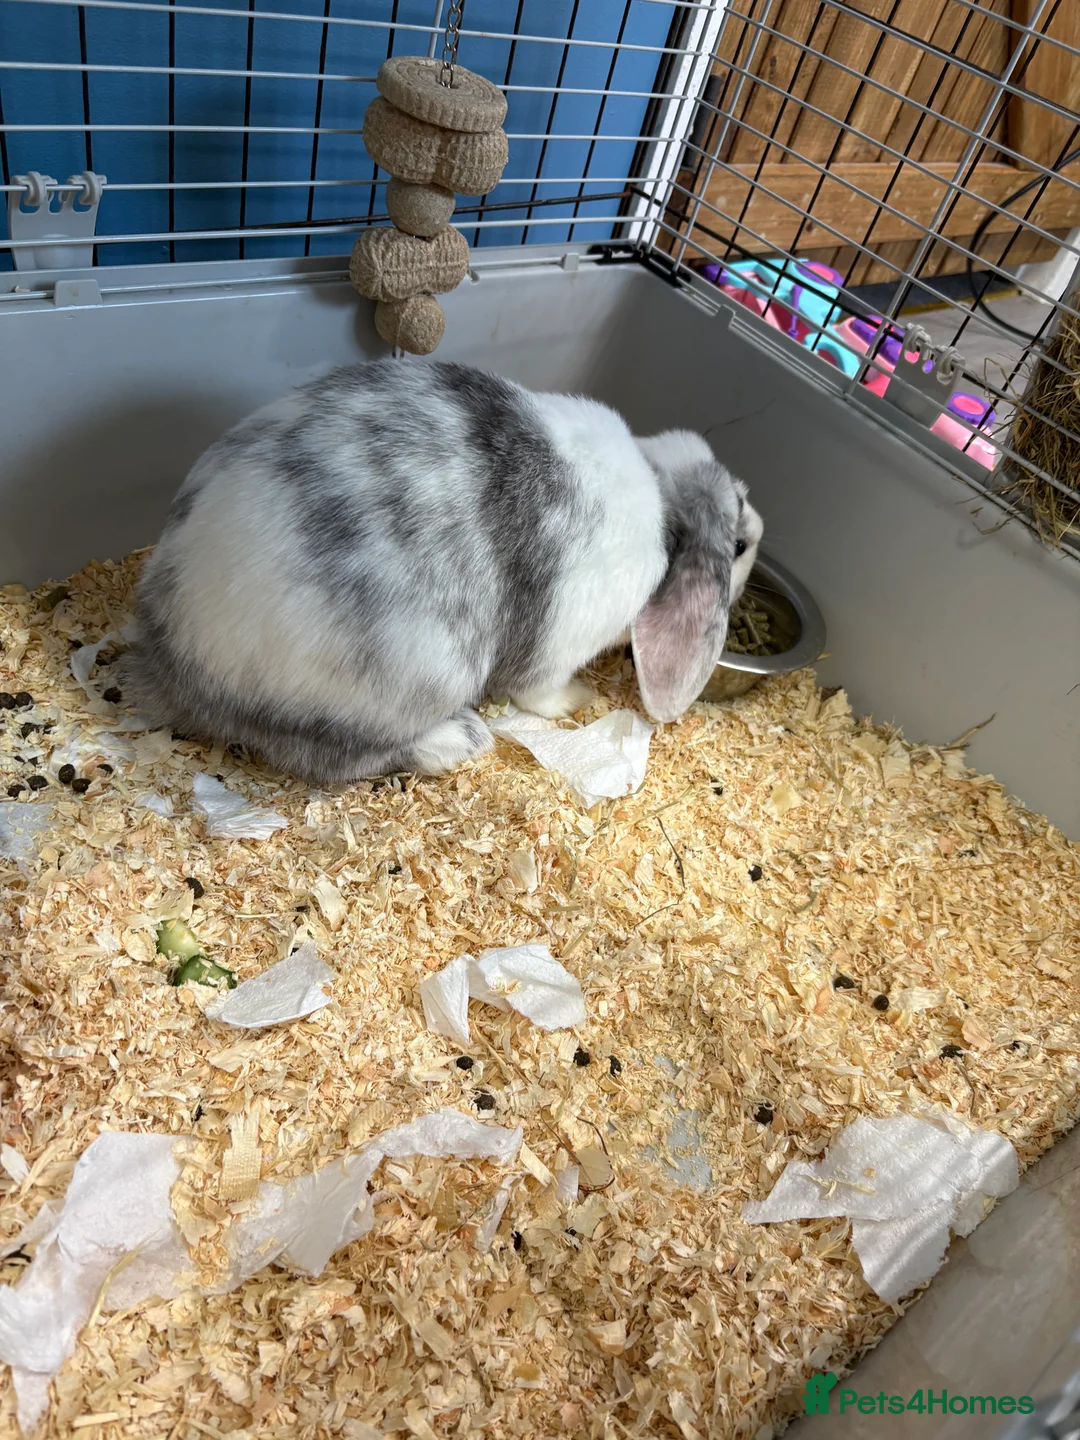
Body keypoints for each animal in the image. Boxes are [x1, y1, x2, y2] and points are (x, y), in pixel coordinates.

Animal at [124, 360, 763, 787]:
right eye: (736, 545)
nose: (759, 528)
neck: (660, 497)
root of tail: (174, 652)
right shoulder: (559, 643)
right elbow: (539, 690)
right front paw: (577, 701)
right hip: (411, 681)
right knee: (328, 758)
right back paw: (454, 742)